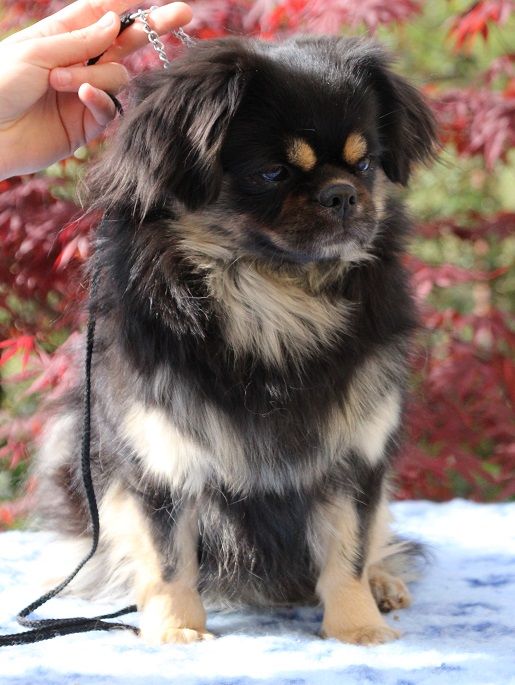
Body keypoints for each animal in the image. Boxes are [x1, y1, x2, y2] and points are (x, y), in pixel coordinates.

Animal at [35, 35, 437, 646]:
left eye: (365, 164)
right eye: (271, 173)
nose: (342, 194)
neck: (273, 302)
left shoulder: (355, 455)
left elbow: (349, 551)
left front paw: (359, 629)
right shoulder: (158, 458)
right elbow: (168, 560)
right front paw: (177, 632)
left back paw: (385, 584)